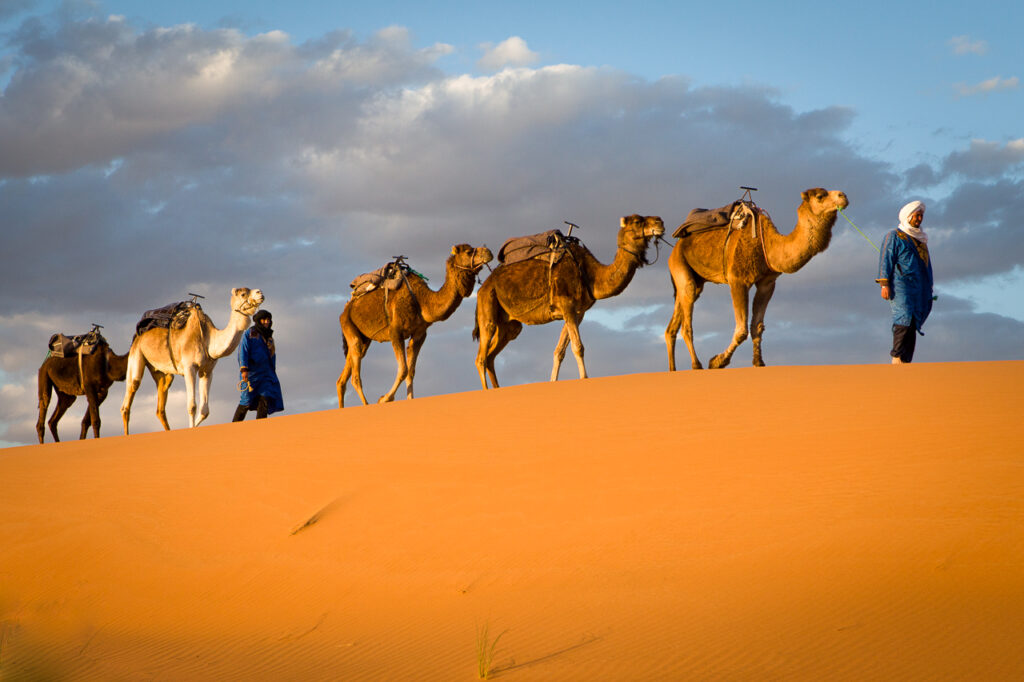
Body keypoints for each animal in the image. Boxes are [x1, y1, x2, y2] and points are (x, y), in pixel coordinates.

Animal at [120, 287, 264, 433]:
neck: (208, 338)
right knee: (130, 395)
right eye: (243, 294)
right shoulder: (189, 367)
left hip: (160, 370)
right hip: (136, 353)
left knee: (161, 403)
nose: (260, 293)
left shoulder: (207, 371)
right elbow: (192, 406)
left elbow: (205, 411)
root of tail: (138, 335)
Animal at [337, 244, 493, 407]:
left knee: (343, 378)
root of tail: (347, 307)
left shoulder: (420, 334)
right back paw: (366, 404)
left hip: (363, 338)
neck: (422, 301)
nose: (488, 252)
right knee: (355, 375)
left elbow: (411, 372)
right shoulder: (395, 331)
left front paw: (409, 400)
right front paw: (384, 399)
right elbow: (403, 370)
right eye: (469, 252)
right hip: (348, 324)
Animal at [473, 214, 665, 389]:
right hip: (488, 304)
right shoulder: (567, 306)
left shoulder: (578, 312)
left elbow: (560, 351)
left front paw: (553, 381)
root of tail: (483, 287)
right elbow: (578, 347)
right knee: (481, 356)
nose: (660, 222)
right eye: (638, 221)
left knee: (491, 356)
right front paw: (585, 379)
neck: (590, 274)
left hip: (509, 325)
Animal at [664, 187, 849, 370]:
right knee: (686, 323)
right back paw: (697, 365)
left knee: (672, 326)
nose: (843, 196)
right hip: (680, 265)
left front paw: (758, 362)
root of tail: (675, 247)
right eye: (820, 196)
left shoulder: (767, 283)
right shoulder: (737, 280)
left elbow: (757, 326)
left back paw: (673, 369)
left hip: (696, 281)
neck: (768, 245)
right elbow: (741, 330)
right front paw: (717, 361)